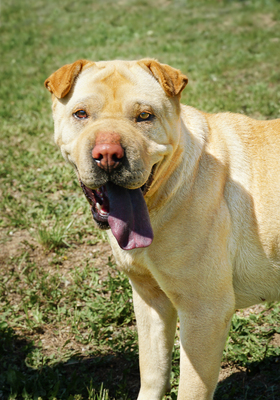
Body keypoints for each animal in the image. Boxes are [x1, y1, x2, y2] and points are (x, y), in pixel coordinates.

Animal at [44, 60, 280, 400]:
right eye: (81, 114)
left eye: (145, 116)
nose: (108, 155)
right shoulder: (150, 298)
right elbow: (152, 371)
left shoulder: (205, 312)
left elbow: (190, 390)